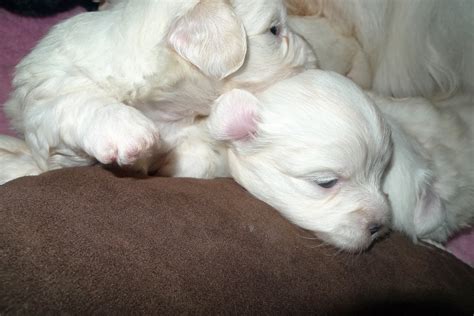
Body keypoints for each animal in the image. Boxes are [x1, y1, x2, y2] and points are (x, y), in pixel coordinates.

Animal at [1, 0, 316, 183]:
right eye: (274, 30)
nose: (315, 58)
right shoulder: (46, 100)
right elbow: (76, 100)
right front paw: (128, 131)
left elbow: (201, 159)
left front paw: (169, 166)